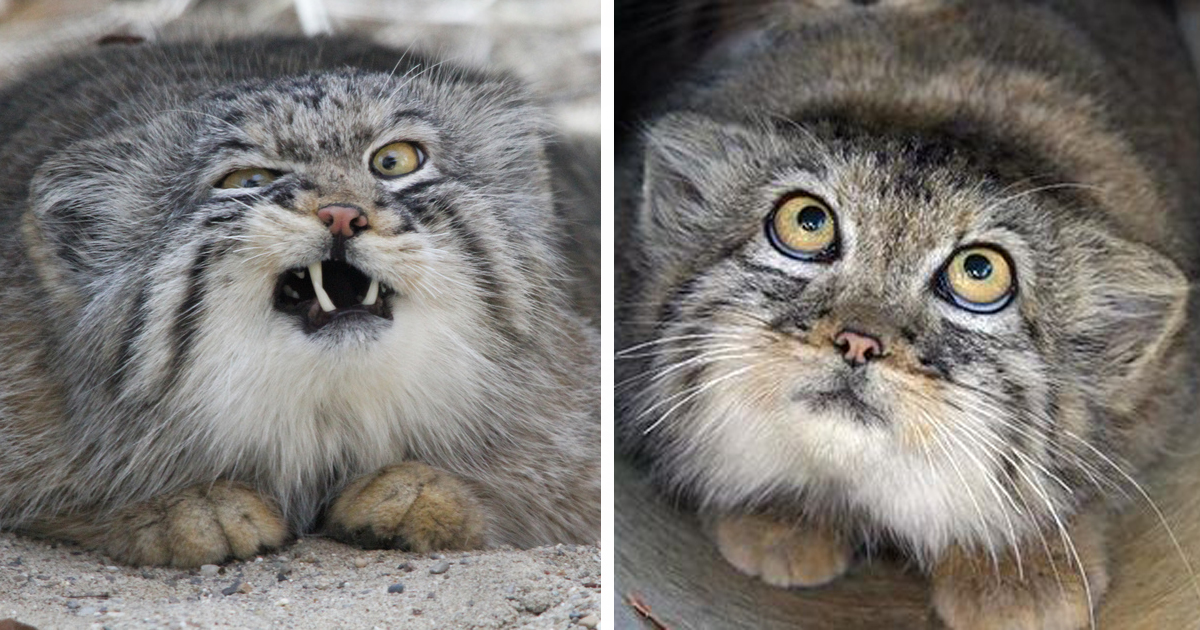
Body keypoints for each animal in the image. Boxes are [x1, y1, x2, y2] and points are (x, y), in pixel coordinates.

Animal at [0, 33, 600, 564]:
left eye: (395, 161)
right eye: (247, 180)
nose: (342, 214)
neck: (328, 421)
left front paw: (426, 492)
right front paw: (184, 507)